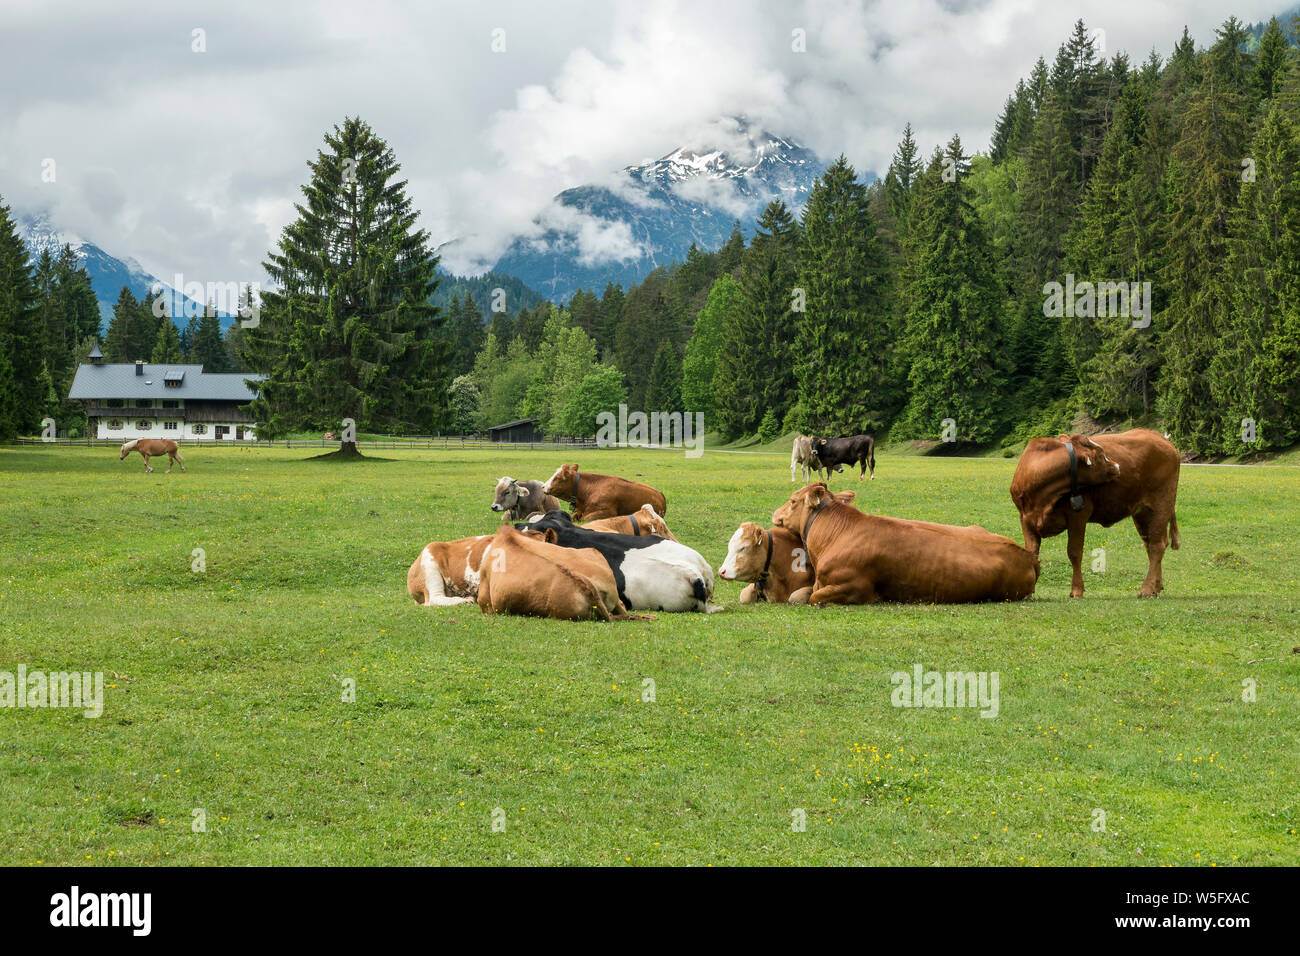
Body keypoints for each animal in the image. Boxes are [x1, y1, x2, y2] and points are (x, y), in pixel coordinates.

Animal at [769, 481, 1034, 608]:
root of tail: (1029, 556)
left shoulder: (853, 587)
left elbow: (814, 597)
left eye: (792, 500)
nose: (774, 512)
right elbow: (799, 595)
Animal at [1008, 429, 1185, 598]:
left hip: (1161, 505)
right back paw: (1156, 586)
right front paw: (1029, 591)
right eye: (1100, 455)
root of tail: (1161, 438)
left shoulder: (1078, 516)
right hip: (1142, 512)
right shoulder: (1025, 519)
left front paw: (1077, 590)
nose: (1117, 466)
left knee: (1157, 545)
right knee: (1150, 544)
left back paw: (1147, 589)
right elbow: (1032, 553)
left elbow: (1074, 552)